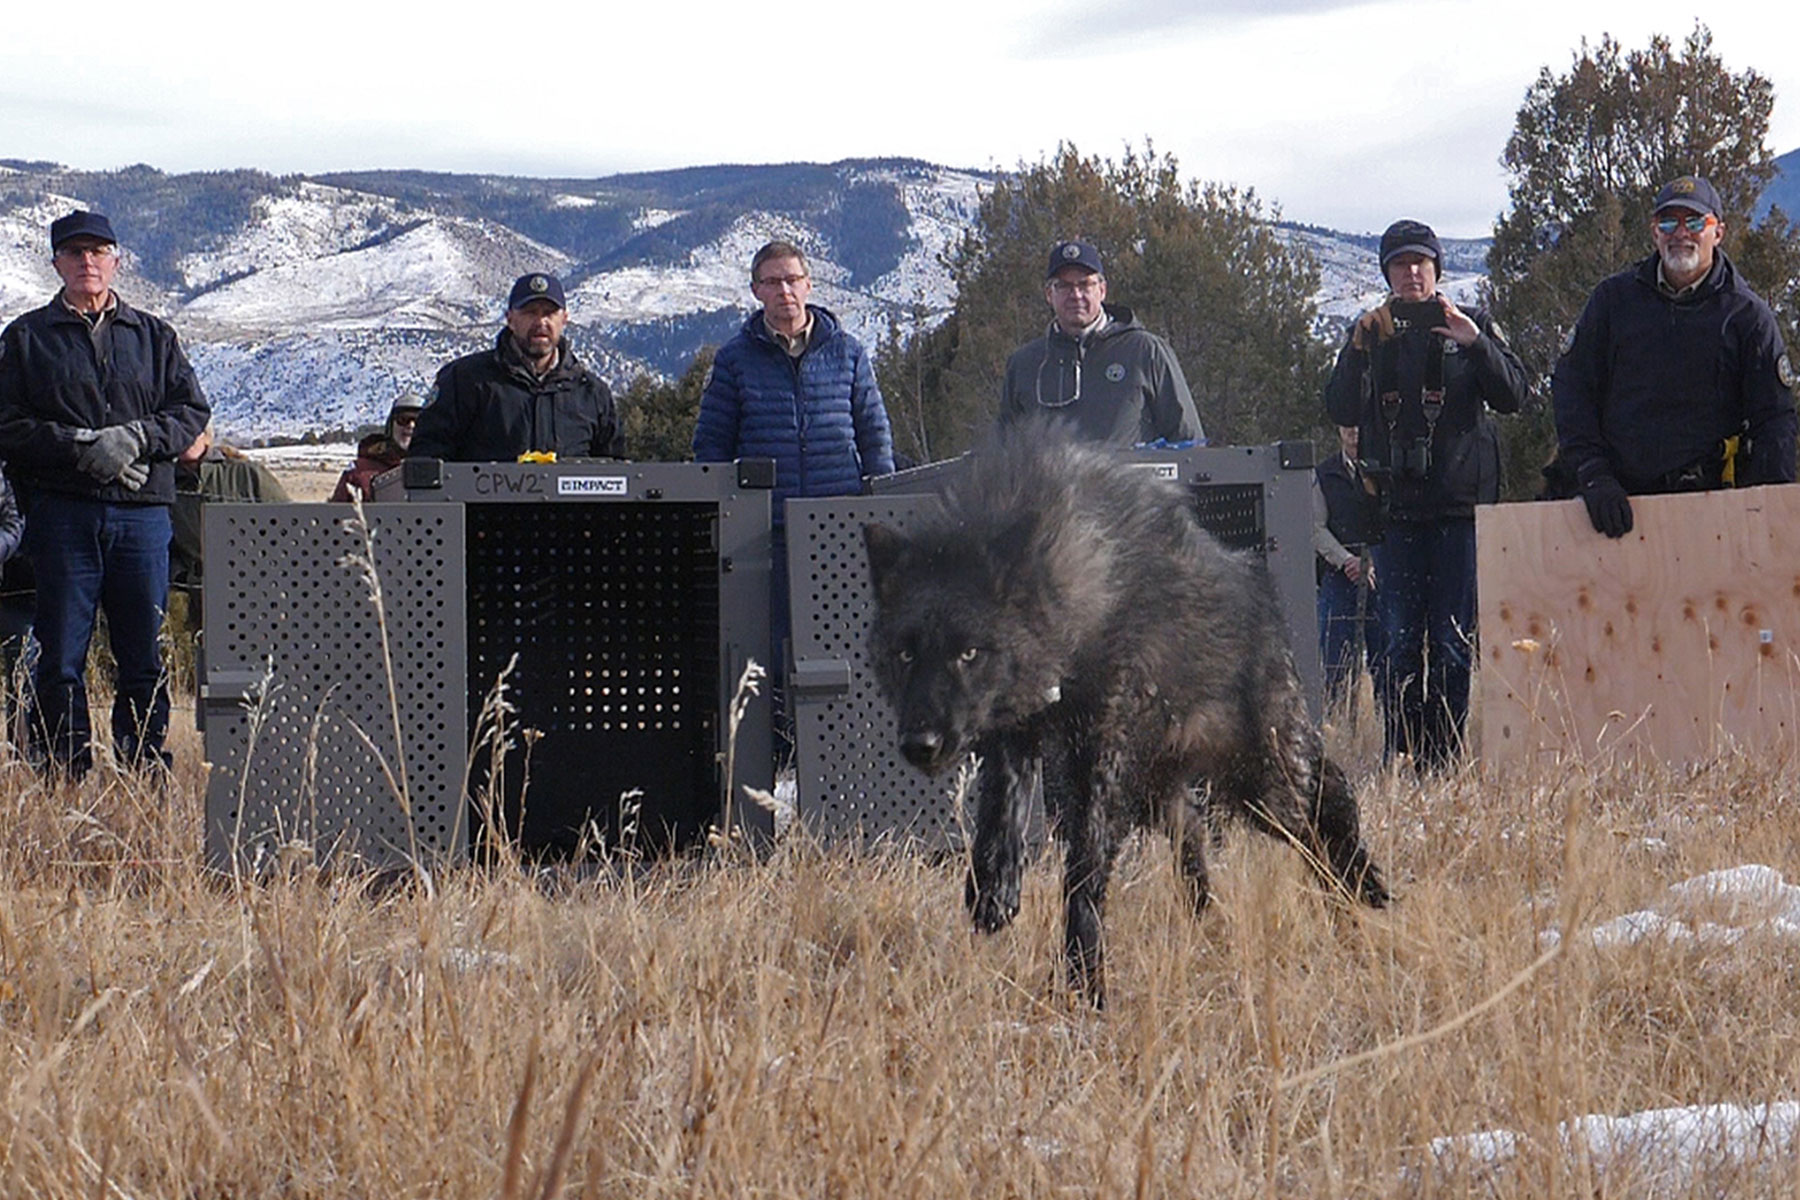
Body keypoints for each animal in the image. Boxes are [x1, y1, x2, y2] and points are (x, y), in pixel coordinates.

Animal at [863, 427, 1388, 1006]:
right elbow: (1002, 814)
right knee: (1197, 838)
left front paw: (1084, 980)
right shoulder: (1015, 735)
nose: (921, 744)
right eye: (905, 654)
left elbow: (1084, 872)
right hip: (1169, 794)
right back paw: (1210, 923)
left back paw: (1359, 891)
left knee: (1325, 810)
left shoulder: (1102, 761)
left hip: (1262, 786)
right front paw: (994, 890)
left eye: (969, 653)